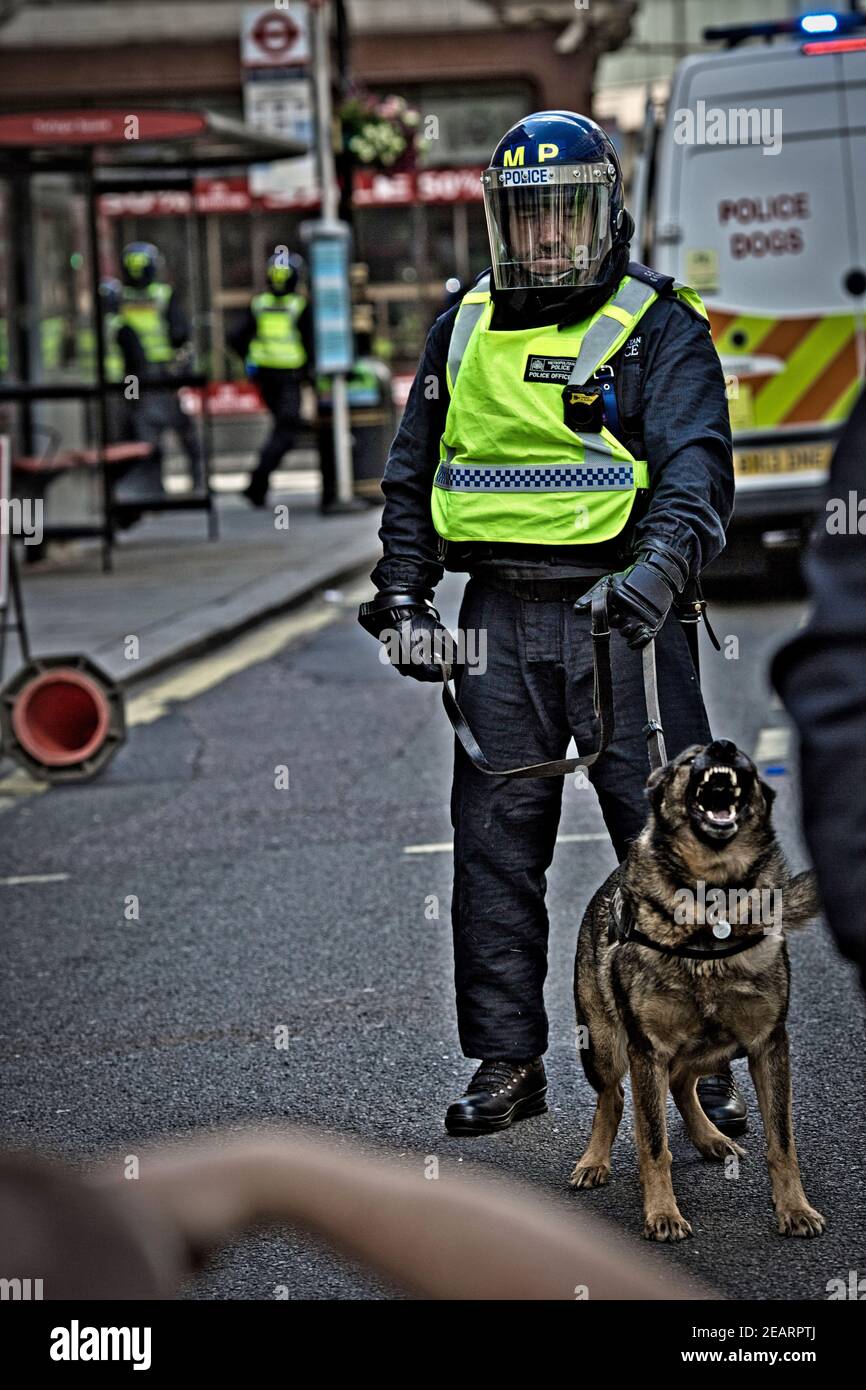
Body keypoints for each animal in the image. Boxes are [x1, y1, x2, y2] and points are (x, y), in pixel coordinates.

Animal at [569, 745, 828, 1245]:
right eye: (689, 760)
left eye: (744, 760)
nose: (722, 748)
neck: (712, 908)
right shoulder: (647, 1049)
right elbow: (654, 1144)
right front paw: (662, 1213)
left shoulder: (768, 1045)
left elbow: (782, 1141)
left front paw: (794, 1208)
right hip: (605, 1044)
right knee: (614, 1097)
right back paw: (594, 1160)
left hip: (719, 1046)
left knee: (682, 1081)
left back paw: (710, 1137)